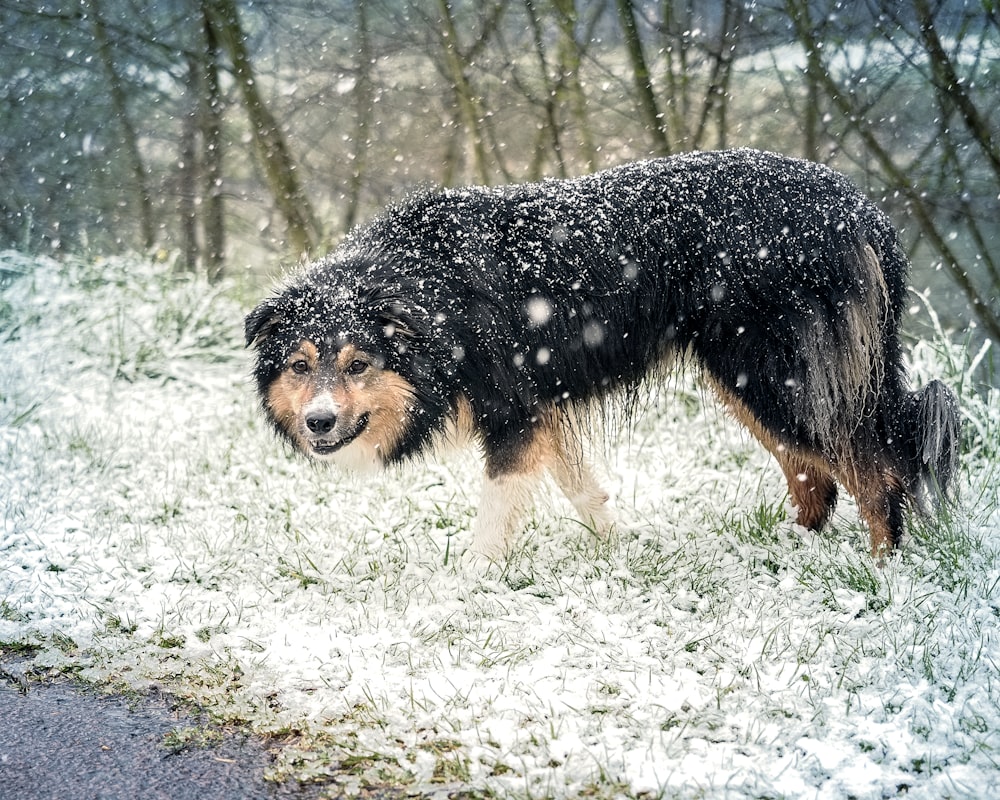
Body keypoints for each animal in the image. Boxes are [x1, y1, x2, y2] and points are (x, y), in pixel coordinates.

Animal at [246, 148, 956, 564]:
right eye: (300, 366)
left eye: (358, 363)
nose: (317, 421)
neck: (430, 293)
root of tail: (864, 212)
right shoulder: (544, 407)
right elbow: (583, 489)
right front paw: (621, 554)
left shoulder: (513, 410)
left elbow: (497, 505)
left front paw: (470, 579)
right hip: (748, 377)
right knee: (816, 475)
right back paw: (791, 549)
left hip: (777, 371)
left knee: (872, 467)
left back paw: (882, 568)